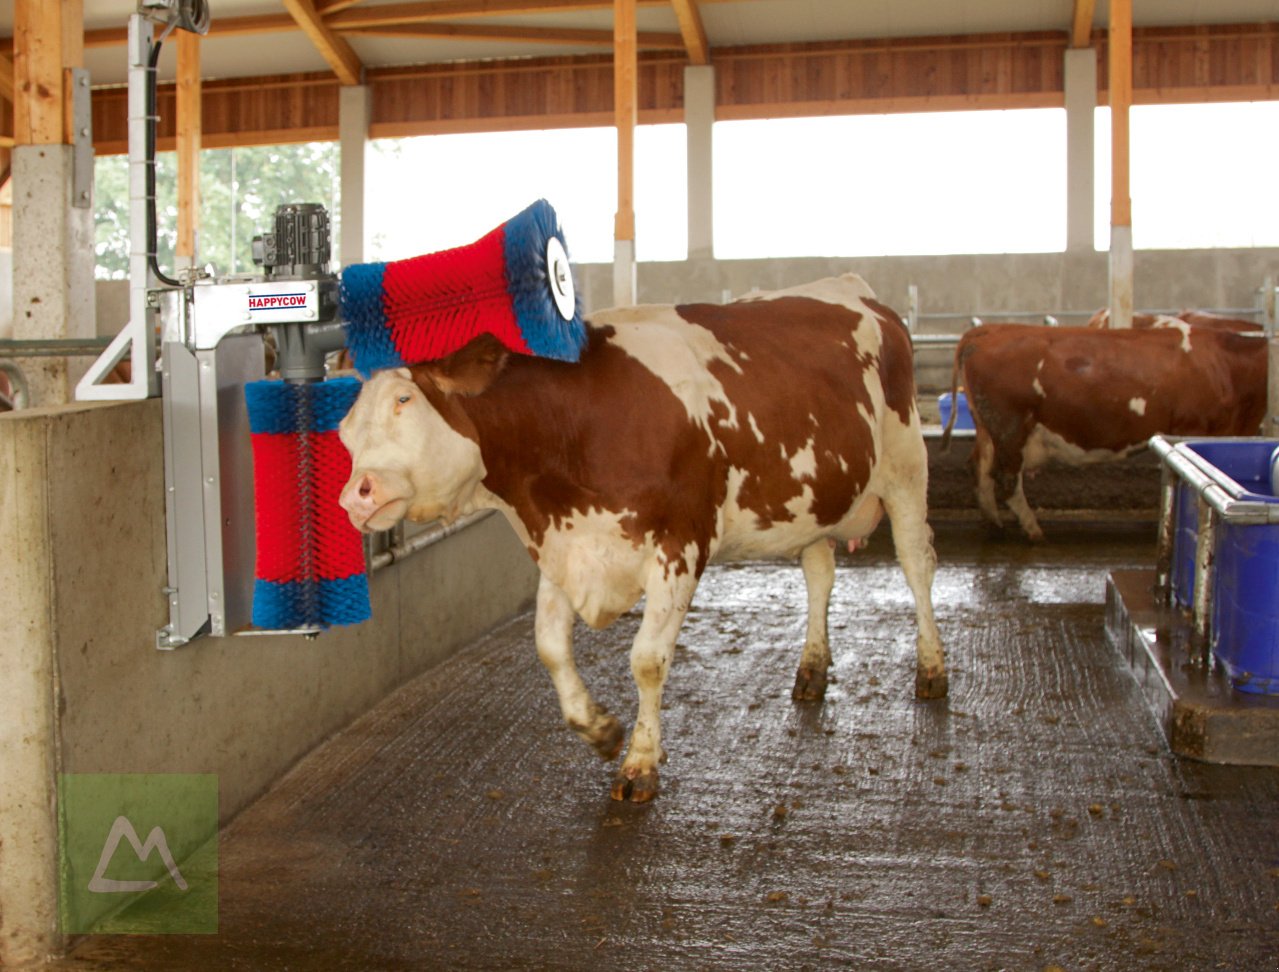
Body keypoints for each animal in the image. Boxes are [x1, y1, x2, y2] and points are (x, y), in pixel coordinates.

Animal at [340, 274, 951, 803]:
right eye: (345, 428)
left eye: (404, 401)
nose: (355, 497)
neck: (575, 423)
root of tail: (854, 288)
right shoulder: (566, 546)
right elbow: (549, 646)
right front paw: (600, 729)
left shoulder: (680, 544)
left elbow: (647, 660)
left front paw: (639, 763)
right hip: (815, 499)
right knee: (820, 573)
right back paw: (813, 669)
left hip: (906, 469)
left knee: (918, 565)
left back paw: (932, 669)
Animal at [941, 324, 1268, 539]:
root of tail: (990, 329)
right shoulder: (1194, 426)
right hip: (1010, 426)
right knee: (1006, 478)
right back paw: (1033, 531)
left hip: (988, 428)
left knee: (980, 468)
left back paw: (993, 523)